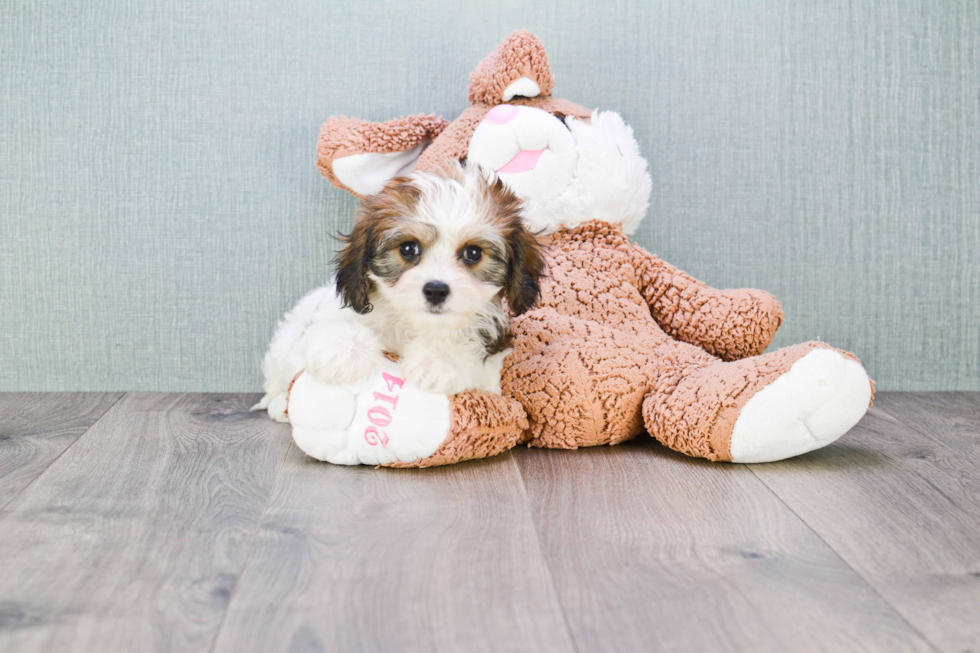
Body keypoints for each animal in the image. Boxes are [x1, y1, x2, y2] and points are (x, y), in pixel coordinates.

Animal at [253, 160, 544, 420]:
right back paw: (279, 404)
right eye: (408, 248)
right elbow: (335, 326)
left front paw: (439, 359)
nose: (436, 290)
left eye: (473, 253)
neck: (411, 323)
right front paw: (344, 350)